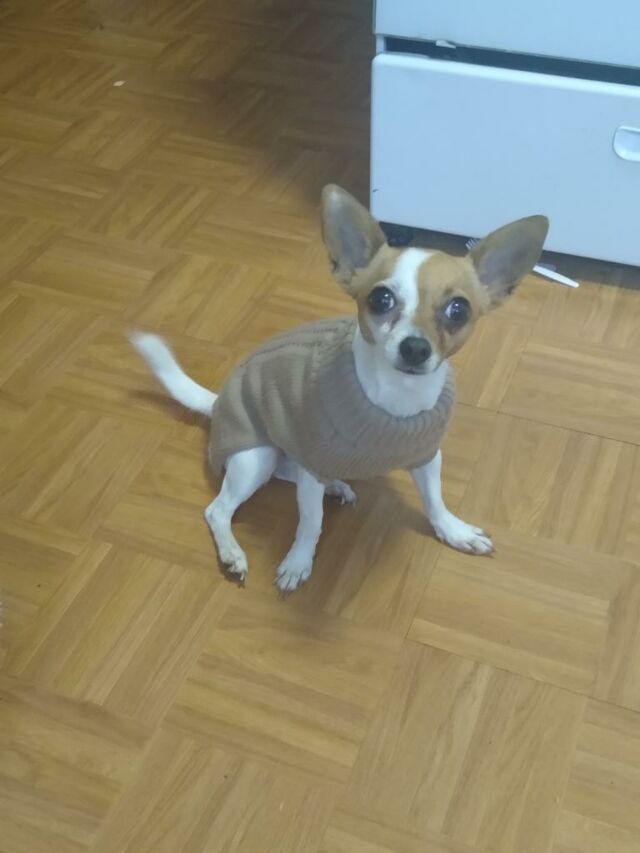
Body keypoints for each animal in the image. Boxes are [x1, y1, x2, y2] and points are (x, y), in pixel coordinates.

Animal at [131, 185, 548, 593]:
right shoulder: (313, 460)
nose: (415, 347)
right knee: (218, 509)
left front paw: (452, 530)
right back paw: (233, 552)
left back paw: (335, 486)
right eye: (381, 299)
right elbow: (310, 522)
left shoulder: (427, 457)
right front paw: (299, 561)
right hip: (256, 456)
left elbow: (434, 499)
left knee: (288, 475)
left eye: (459, 309)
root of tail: (218, 403)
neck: (395, 401)